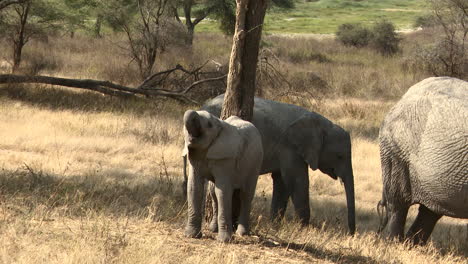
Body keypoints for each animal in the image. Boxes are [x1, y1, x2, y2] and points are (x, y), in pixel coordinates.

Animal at [183, 110, 264, 243]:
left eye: (209, 125)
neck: (219, 124)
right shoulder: (195, 156)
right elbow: (194, 187)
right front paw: (191, 235)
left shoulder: (226, 158)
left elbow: (223, 191)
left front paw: (224, 241)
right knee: (212, 192)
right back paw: (213, 229)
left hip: (256, 162)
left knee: (246, 194)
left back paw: (242, 233)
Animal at [199, 94, 356, 234]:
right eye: (339, 156)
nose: (351, 233)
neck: (322, 124)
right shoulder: (290, 148)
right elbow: (297, 182)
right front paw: (304, 228)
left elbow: (282, 184)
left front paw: (275, 225)